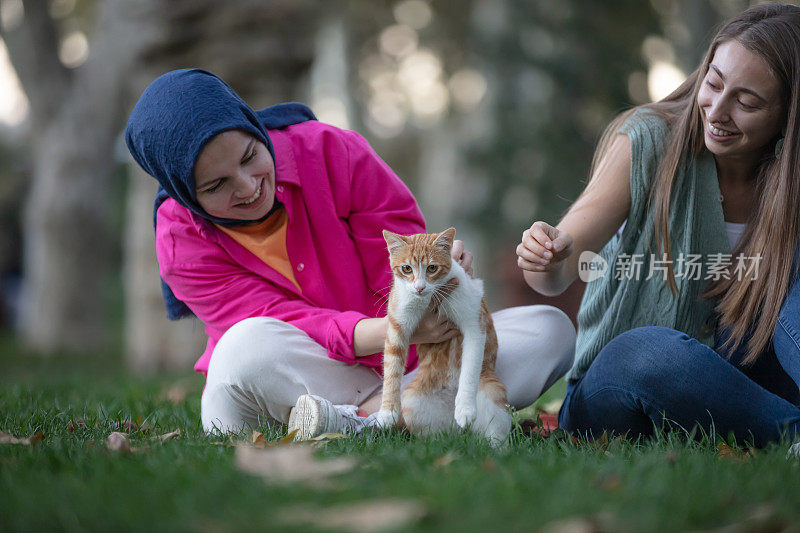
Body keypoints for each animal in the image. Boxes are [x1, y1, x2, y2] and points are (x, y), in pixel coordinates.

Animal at [370, 227, 510, 442]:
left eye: (432, 268)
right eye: (407, 269)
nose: (419, 287)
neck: (428, 298)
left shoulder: (474, 326)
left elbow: (470, 367)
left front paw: (465, 409)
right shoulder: (397, 327)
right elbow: (392, 370)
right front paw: (386, 413)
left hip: (494, 396)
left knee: (495, 436)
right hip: (413, 402)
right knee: (435, 441)